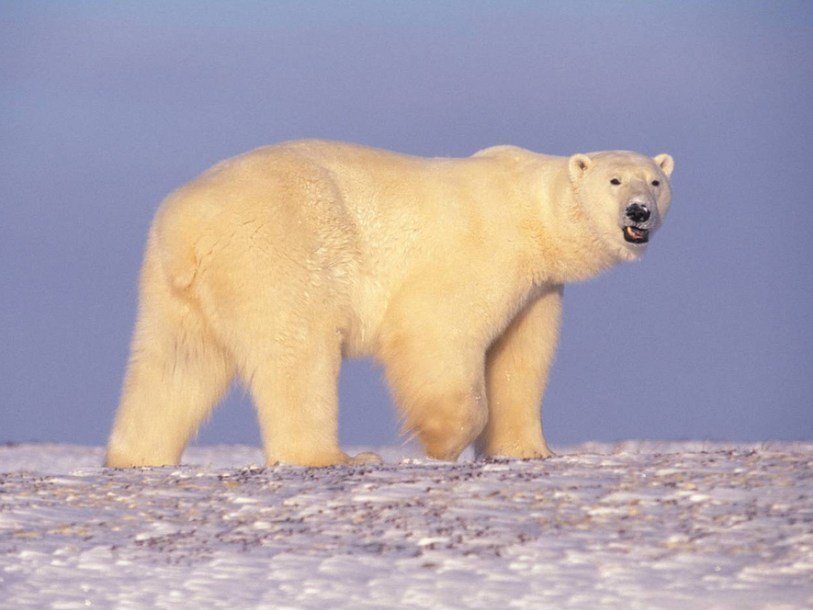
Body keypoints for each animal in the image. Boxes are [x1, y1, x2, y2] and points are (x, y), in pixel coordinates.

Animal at [105, 140, 674, 468]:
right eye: (614, 180)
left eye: (656, 180)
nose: (639, 212)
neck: (530, 212)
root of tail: (188, 225)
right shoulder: (479, 250)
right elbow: (437, 331)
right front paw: (439, 441)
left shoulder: (538, 287)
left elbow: (519, 359)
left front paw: (528, 449)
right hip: (276, 247)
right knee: (299, 352)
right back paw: (334, 456)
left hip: (173, 287)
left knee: (174, 365)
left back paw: (137, 456)